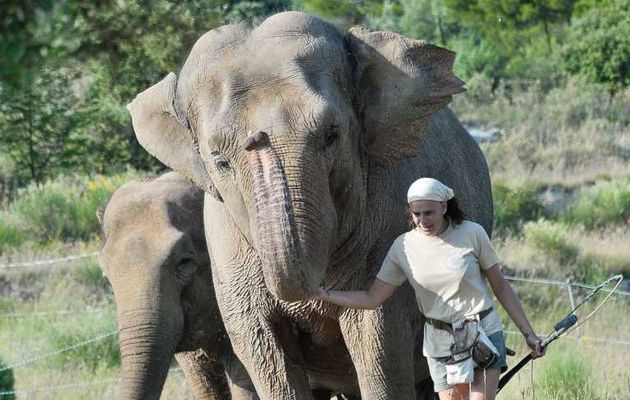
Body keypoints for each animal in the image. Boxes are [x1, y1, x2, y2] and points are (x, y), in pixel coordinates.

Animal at [128, 11, 494, 400]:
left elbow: (377, 339)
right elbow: (265, 349)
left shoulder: (388, 223)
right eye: (221, 161)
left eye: (332, 135)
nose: (257, 138)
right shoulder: (227, 248)